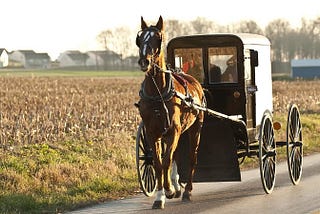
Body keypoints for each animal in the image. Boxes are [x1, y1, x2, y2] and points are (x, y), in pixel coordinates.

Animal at [135, 16, 205, 209]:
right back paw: (177, 186)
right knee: (175, 156)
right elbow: (159, 163)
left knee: (191, 157)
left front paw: (168, 190)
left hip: (194, 128)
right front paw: (160, 196)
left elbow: (166, 161)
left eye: (157, 38)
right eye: (140, 39)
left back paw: (187, 190)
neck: (157, 93)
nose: (144, 62)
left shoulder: (174, 130)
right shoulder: (152, 132)